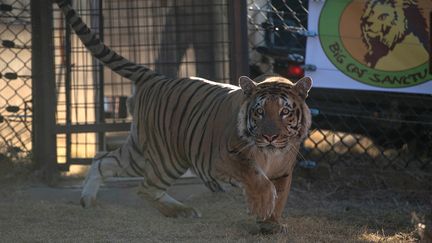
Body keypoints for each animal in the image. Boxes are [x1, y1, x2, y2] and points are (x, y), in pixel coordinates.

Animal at [57, 0, 312, 235]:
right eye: (259, 112)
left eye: (285, 112)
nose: (270, 137)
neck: (272, 153)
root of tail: (155, 77)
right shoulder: (225, 158)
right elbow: (256, 177)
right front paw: (261, 206)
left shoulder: (283, 172)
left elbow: (280, 196)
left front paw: (271, 223)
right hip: (167, 157)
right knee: (145, 187)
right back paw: (178, 210)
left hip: (139, 152)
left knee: (102, 159)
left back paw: (88, 200)